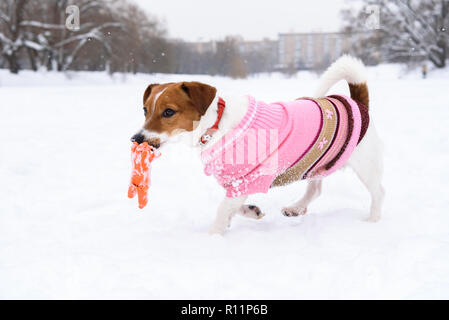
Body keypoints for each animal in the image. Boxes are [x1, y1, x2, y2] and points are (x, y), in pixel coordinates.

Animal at [130, 55, 384, 235]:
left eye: (168, 112)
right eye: (145, 110)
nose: (137, 139)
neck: (215, 126)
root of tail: (358, 104)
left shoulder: (248, 179)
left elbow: (223, 209)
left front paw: (212, 236)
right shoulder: (236, 182)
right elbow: (232, 206)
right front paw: (249, 212)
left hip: (366, 165)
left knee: (378, 192)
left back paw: (373, 221)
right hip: (319, 160)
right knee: (315, 189)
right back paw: (296, 207)